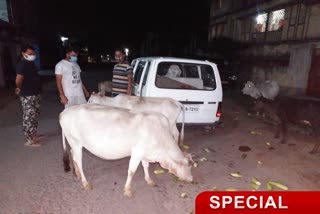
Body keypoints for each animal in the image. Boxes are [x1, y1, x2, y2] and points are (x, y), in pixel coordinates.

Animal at [59, 104, 192, 196]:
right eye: (189, 166)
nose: (191, 179)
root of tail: (64, 112)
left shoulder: (145, 153)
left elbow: (146, 166)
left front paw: (149, 180)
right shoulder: (137, 152)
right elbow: (131, 171)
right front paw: (128, 190)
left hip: (74, 143)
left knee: (73, 155)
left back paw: (76, 173)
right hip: (75, 142)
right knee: (79, 161)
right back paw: (85, 183)